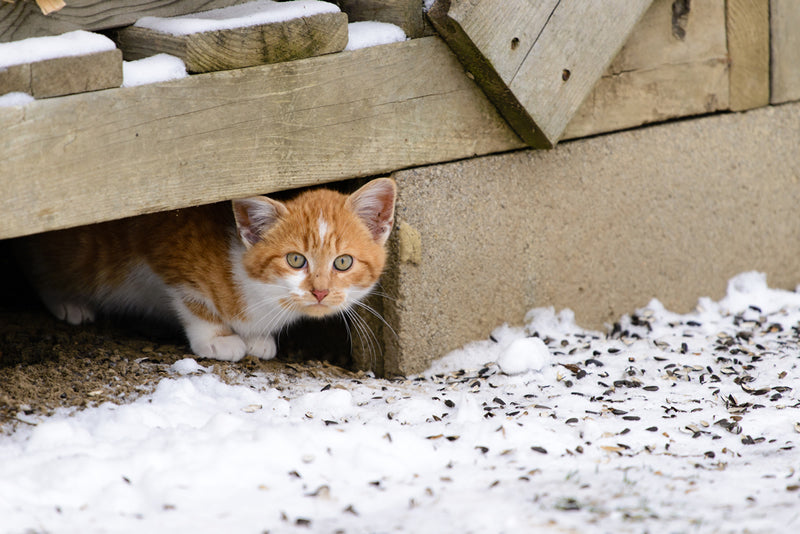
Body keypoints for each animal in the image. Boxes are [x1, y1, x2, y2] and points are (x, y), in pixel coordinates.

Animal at [15, 178, 396, 362]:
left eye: (343, 262)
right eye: (295, 260)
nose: (319, 291)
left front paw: (257, 338)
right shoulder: (166, 245)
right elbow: (192, 299)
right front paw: (218, 338)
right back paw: (68, 303)